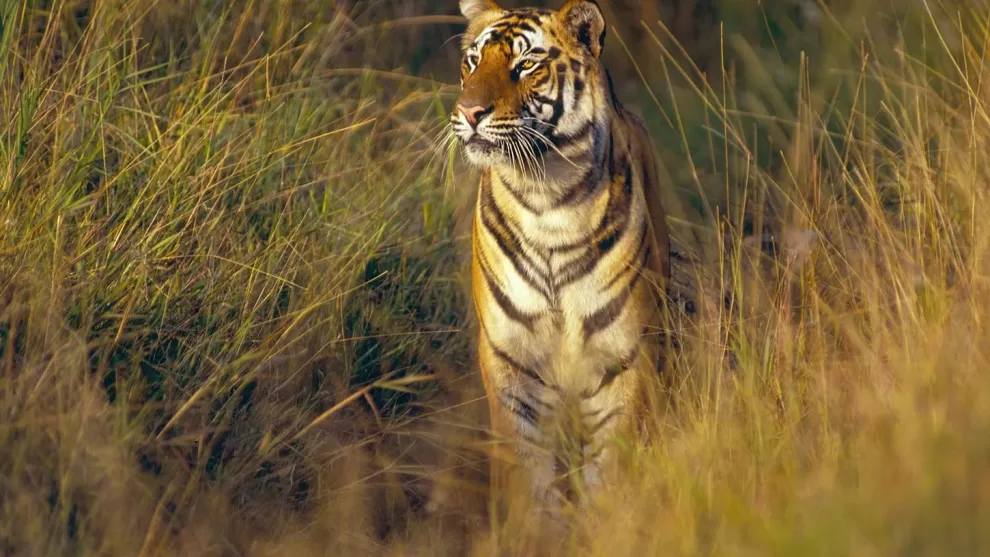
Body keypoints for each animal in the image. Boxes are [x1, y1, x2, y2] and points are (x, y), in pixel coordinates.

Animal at [451, 0, 671, 511]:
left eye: (525, 65)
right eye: (472, 62)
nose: (469, 111)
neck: (546, 198)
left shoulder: (623, 359)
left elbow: (609, 472)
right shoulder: (510, 360)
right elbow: (527, 474)